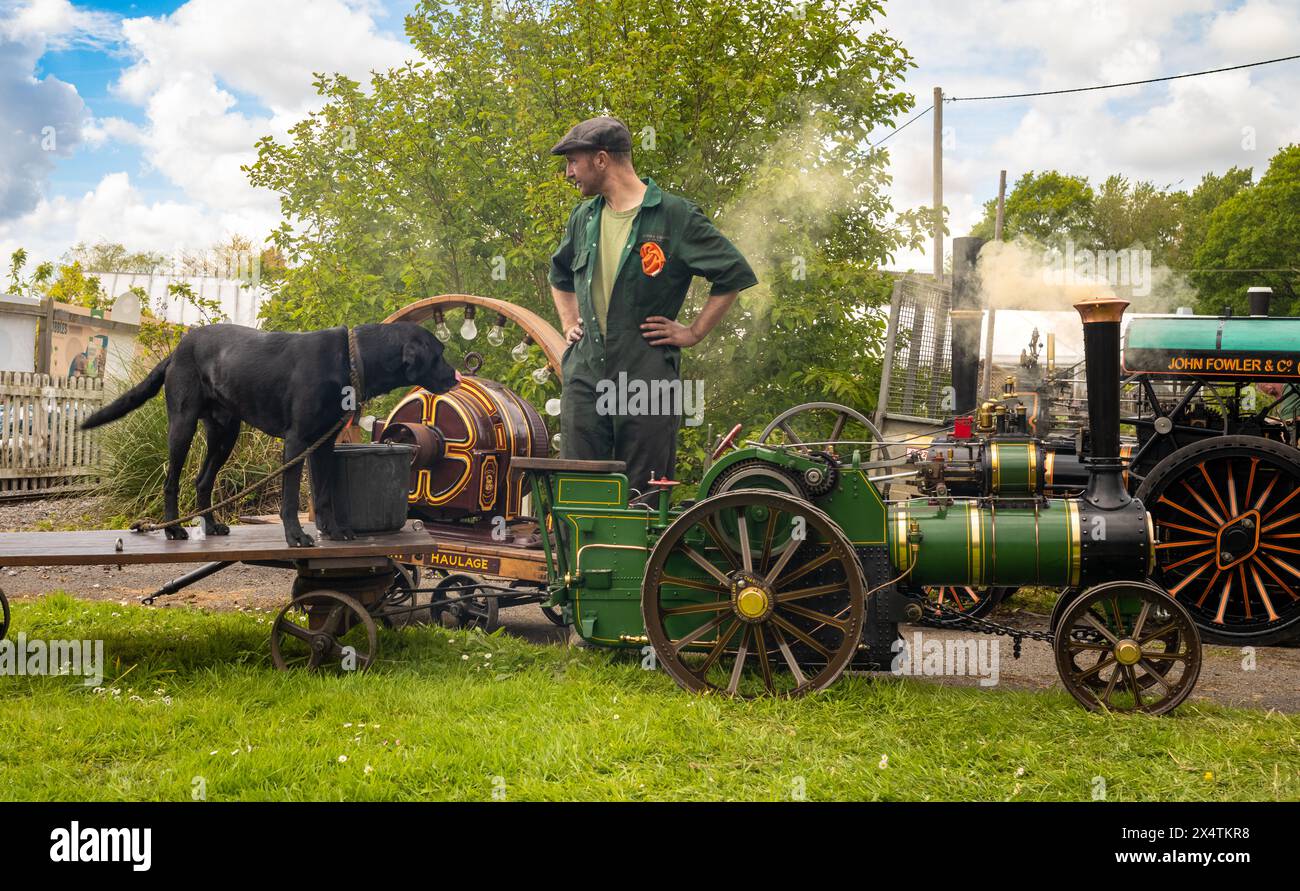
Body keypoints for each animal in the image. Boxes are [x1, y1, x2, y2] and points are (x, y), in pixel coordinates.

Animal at [78, 322, 460, 546]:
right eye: (439, 354)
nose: (457, 377)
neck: (348, 359)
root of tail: (179, 349)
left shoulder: (323, 445)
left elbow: (324, 493)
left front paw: (334, 532)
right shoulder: (297, 441)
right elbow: (290, 498)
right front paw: (296, 535)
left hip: (225, 434)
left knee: (202, 481)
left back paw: (211, 525)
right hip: (182, 426)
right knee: (172, 481)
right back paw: (173, 528)